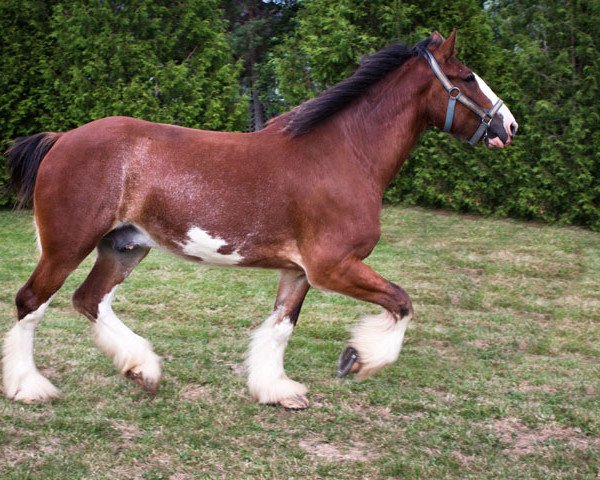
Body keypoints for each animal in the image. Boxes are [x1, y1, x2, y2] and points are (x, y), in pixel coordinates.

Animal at [2, 30, 516, 406]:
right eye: (467, 76)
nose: (508, 126)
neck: (343, 154)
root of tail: (62, 138)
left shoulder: (299, 271)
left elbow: (281, 326)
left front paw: (278, 390)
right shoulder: (333, 267)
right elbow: (402, 302)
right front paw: (357, 359)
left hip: (124, 246)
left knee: (90, 300)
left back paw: (141, 368)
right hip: (68, 244)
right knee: (31, 301)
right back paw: (29, 387)